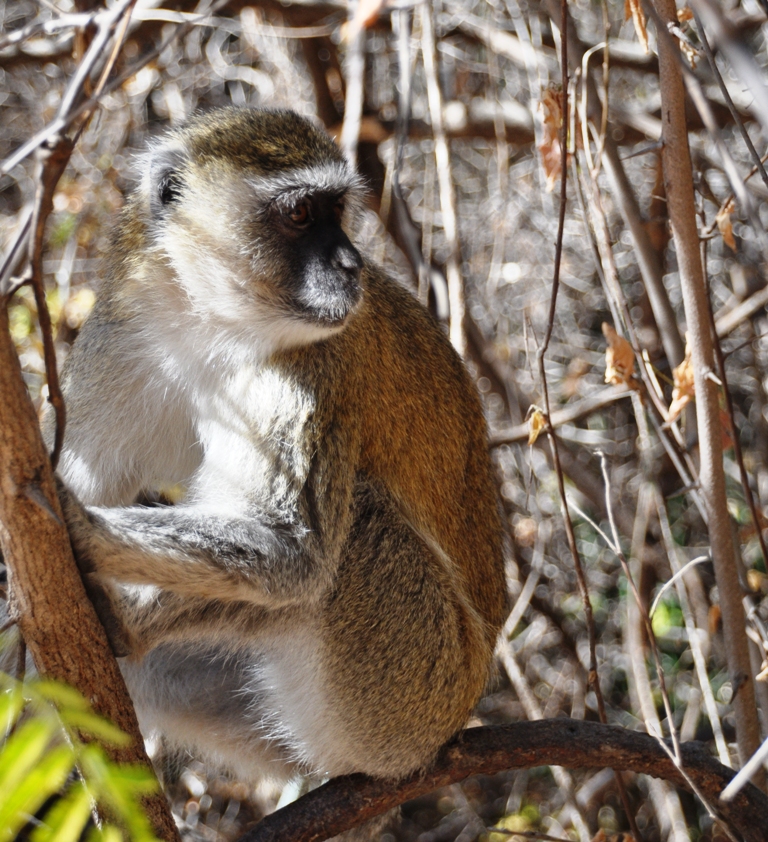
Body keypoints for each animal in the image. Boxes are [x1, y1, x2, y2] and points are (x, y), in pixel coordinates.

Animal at [48, 108, 508, 784]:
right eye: (300, 215)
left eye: (336, 209)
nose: (352, 264)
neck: (206, 322)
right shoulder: (121, 336)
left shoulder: (314, 362)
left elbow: (292, 549)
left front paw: (77, 523)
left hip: (411, 690)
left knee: (353, 524)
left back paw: (128, 624)